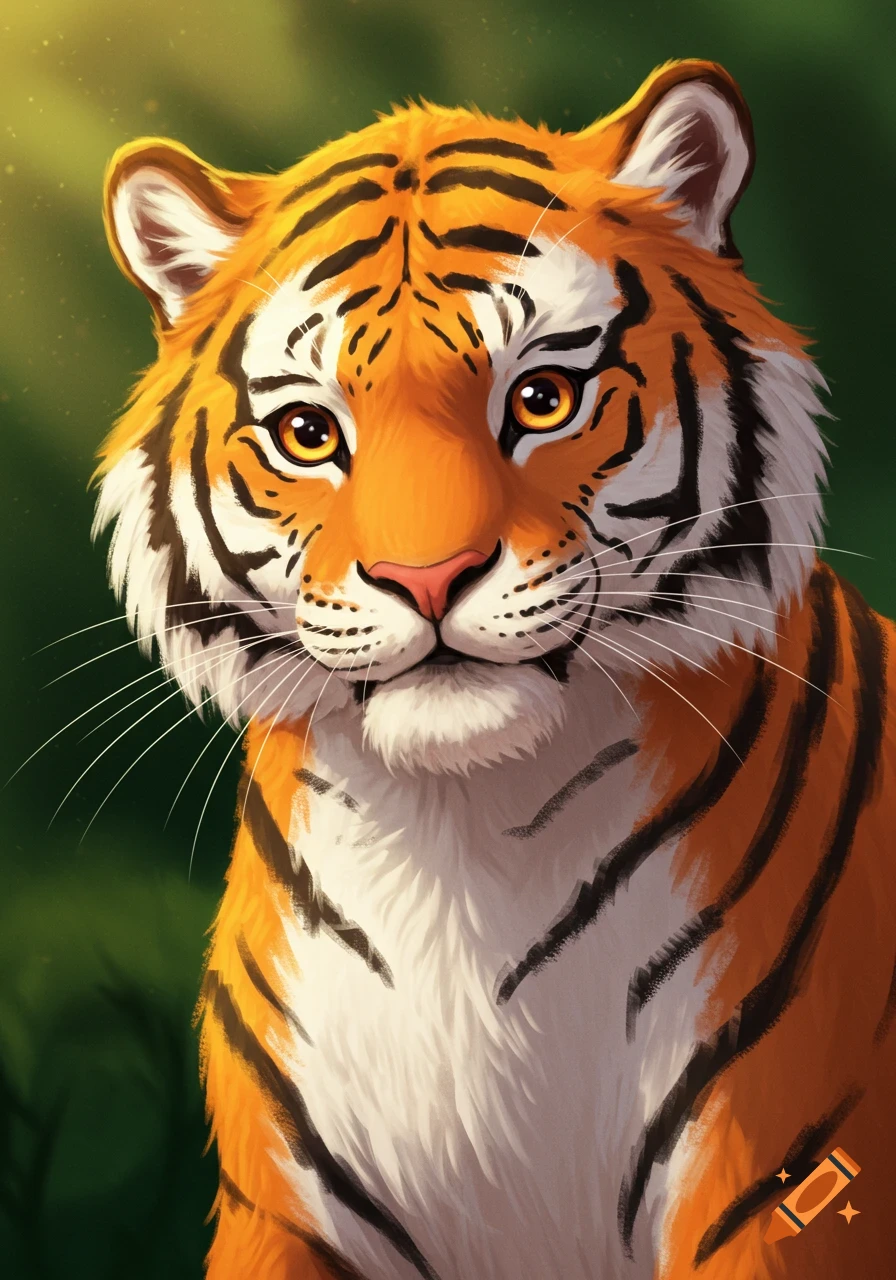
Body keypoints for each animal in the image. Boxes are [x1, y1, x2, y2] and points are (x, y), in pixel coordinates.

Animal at [93, 57, 896, 1280]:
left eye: (540, 399)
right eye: (308, 433)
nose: (426, 577)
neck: (466, 846)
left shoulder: (785, 1191)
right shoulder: (282, 1213)